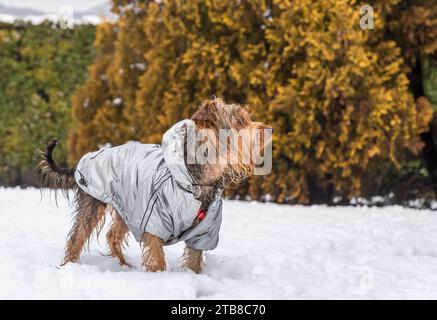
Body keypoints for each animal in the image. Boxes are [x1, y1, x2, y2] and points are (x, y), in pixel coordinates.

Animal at [37, 97, 270, 272]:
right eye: (240, 121)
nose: (268, 128)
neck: (196, 179)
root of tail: (82, 161)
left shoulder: (205, 231)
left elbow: (194, 259)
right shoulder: (154, 220)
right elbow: (157, 256)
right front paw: (158, 276)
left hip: (126, 205)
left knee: (113, 235)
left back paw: (124, 265)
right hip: (94, 201)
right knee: (78, 236)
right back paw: (70, 266)